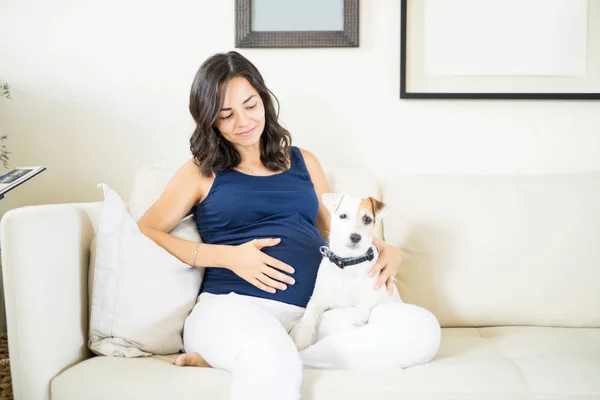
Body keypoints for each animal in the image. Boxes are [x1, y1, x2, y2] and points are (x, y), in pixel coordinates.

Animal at [292, 192, 400, 352]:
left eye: (367, 219)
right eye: (343, 216)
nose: (355, 237)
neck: (349, 263)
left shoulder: (381, 291)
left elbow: (369, 298)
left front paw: (358, 314)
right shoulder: (319, 298)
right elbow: (309, 313)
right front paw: (302, 338)